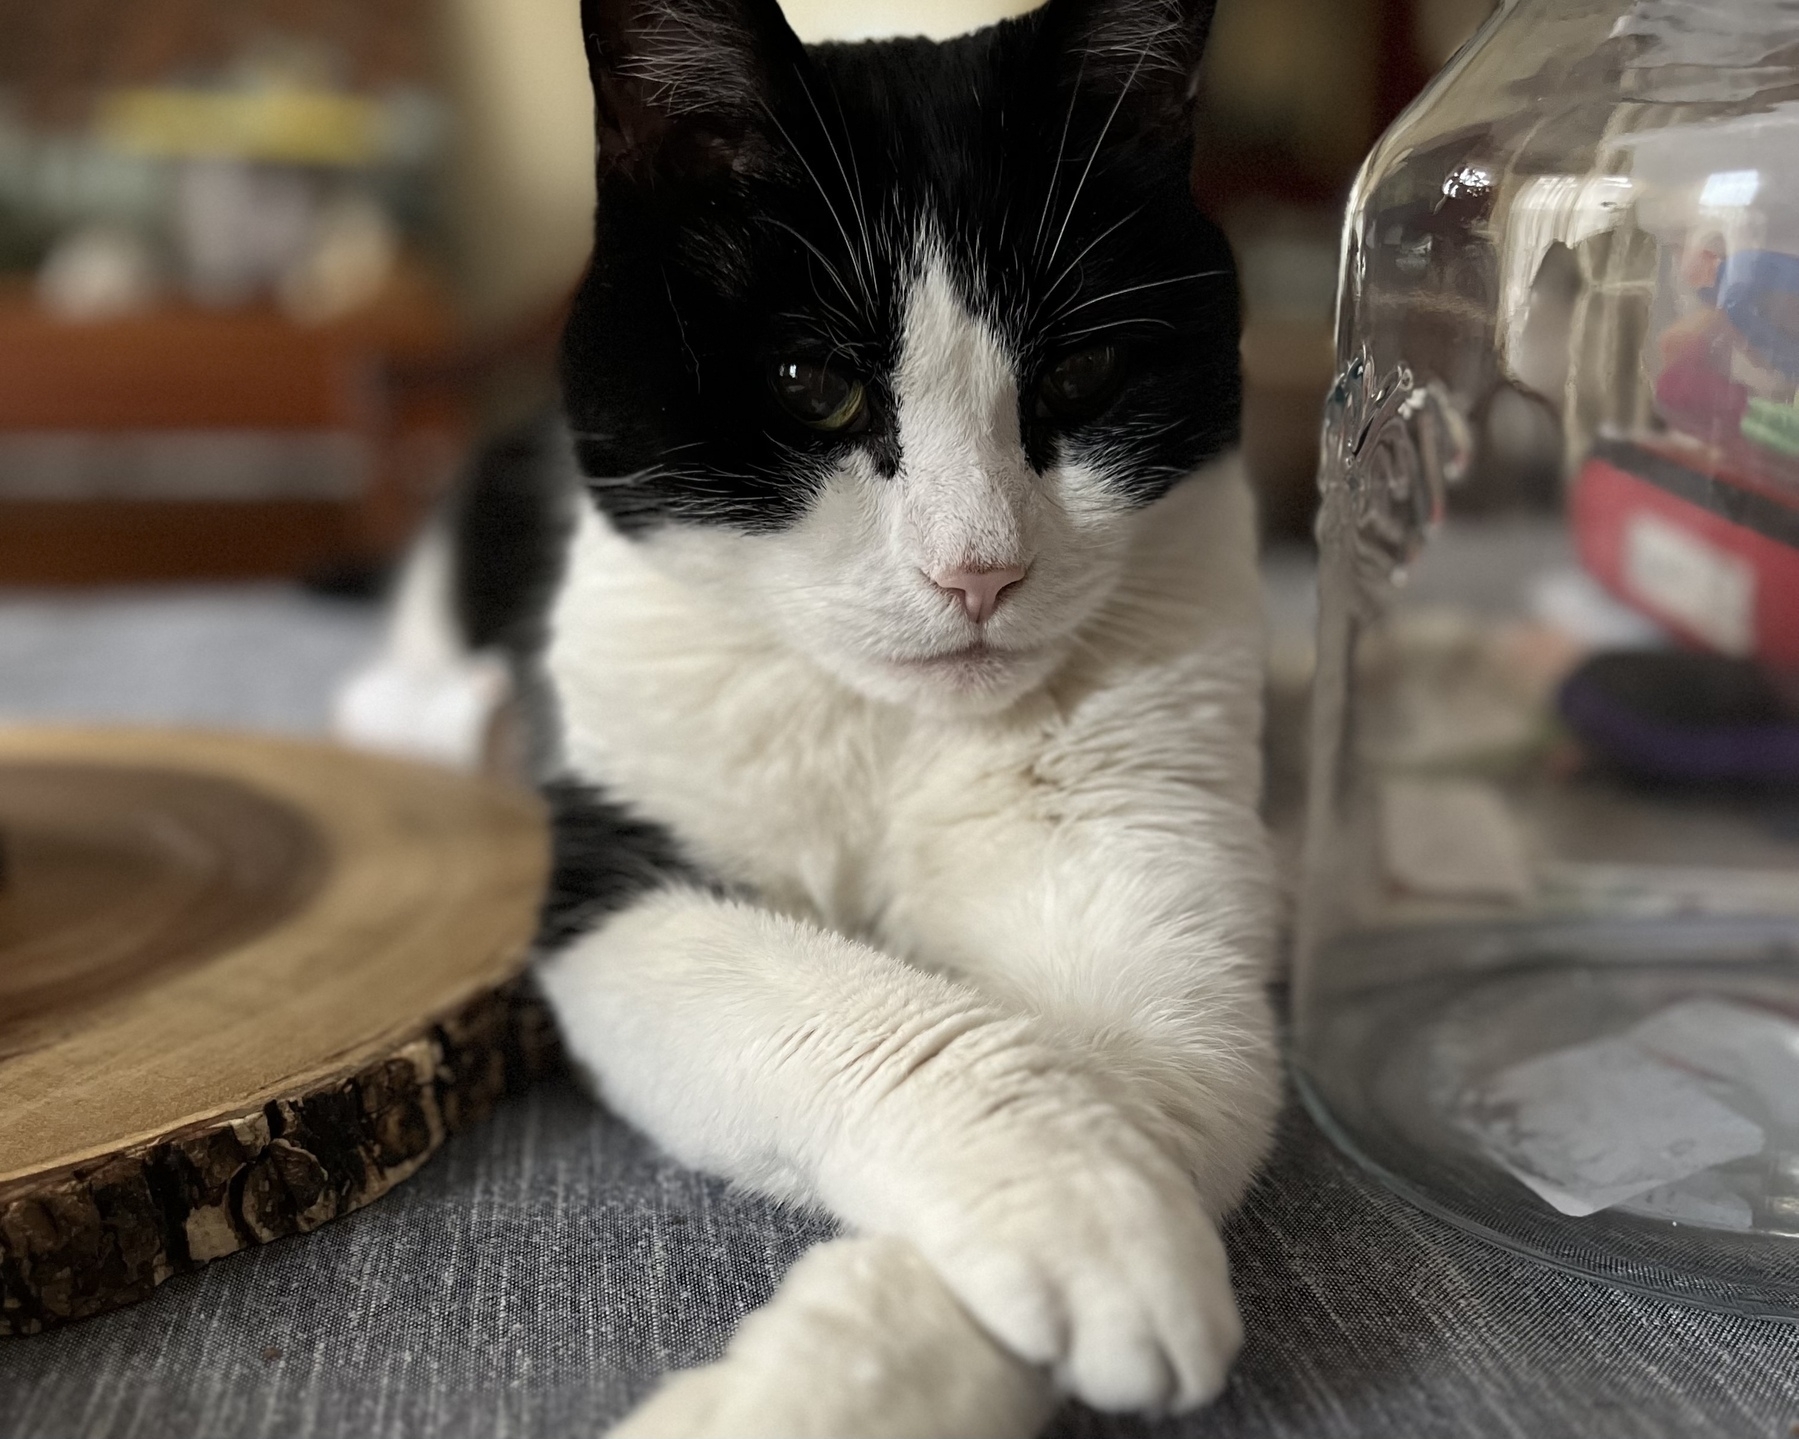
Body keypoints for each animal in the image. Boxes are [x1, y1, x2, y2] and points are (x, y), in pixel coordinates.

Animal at [340, 0, 1280, 1424]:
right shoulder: (618, 867)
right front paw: (1088, 1212)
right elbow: (874, 1017)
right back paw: (472, 721)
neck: (884, 734)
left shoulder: (1150, 857)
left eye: (1086, 371)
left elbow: (1140, 1071)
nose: (977, 569)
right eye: (810, 383)